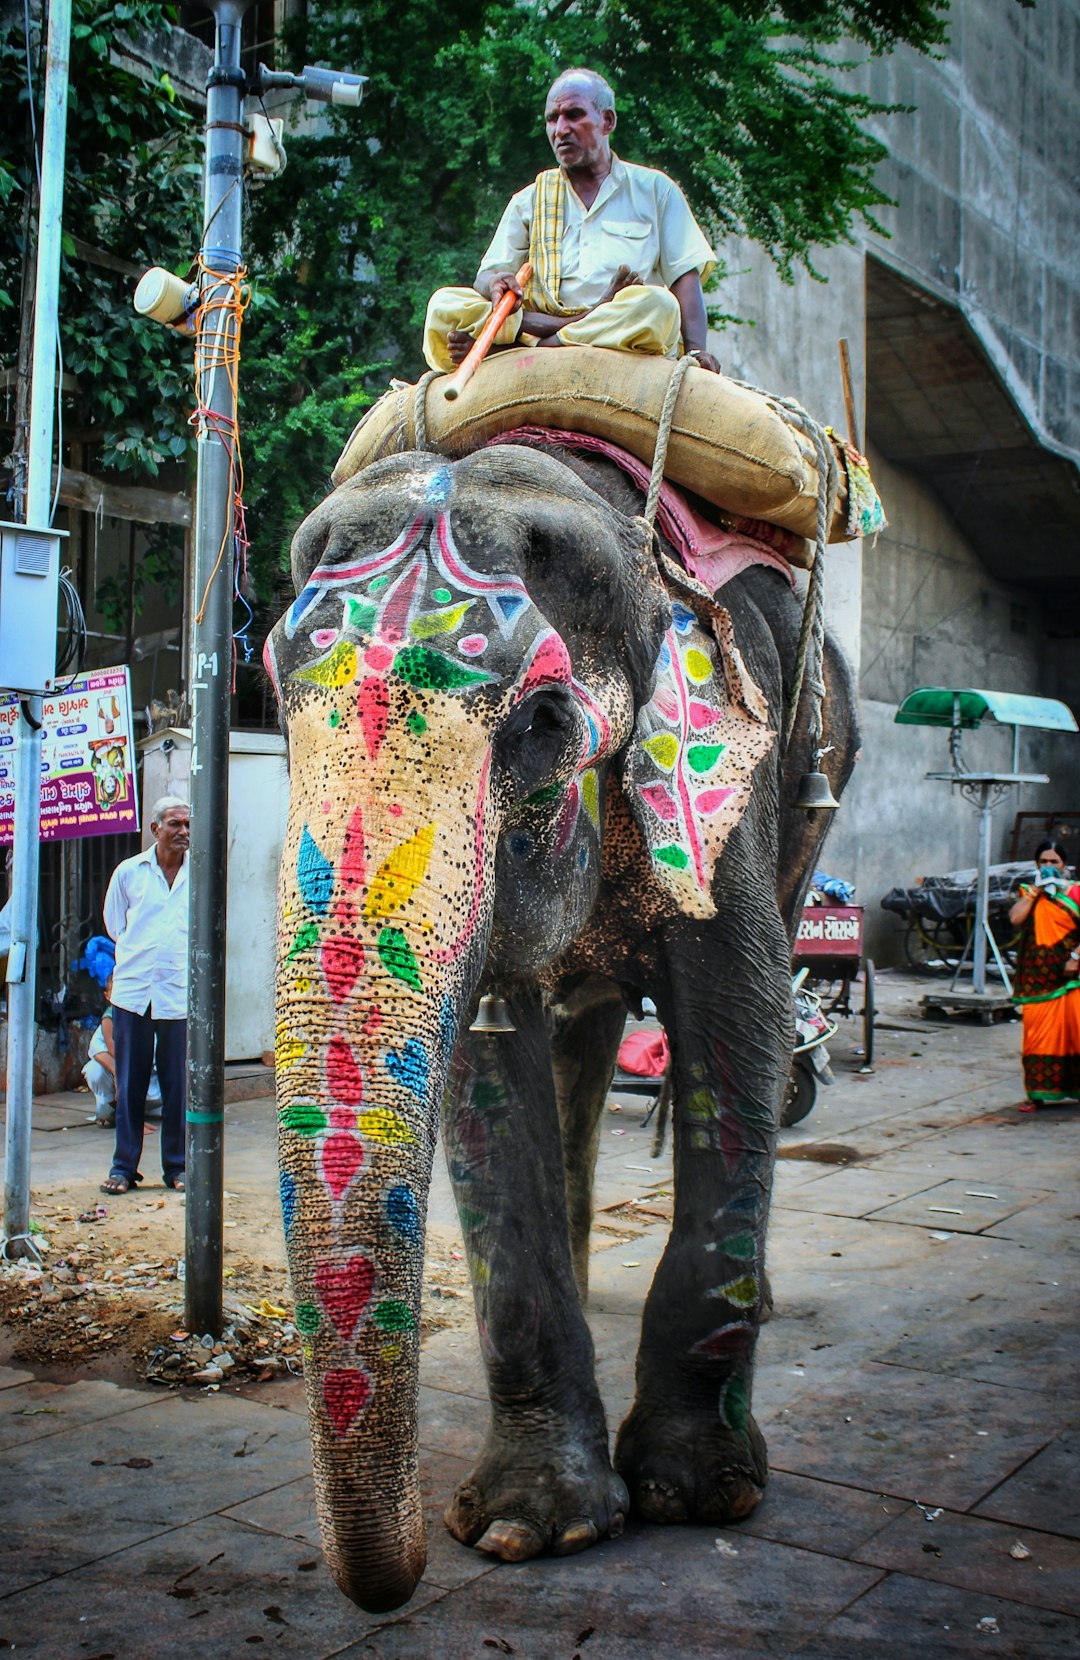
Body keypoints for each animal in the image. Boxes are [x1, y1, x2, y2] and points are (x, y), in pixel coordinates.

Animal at [265, 438, 856, 1606]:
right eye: (270, 690)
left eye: (542, 725)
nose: (399, 1572)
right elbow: (488, 1077)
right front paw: (527, 1527)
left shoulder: (726, 778)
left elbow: (744, 1011)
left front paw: (697, 1494)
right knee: (585, 1033)